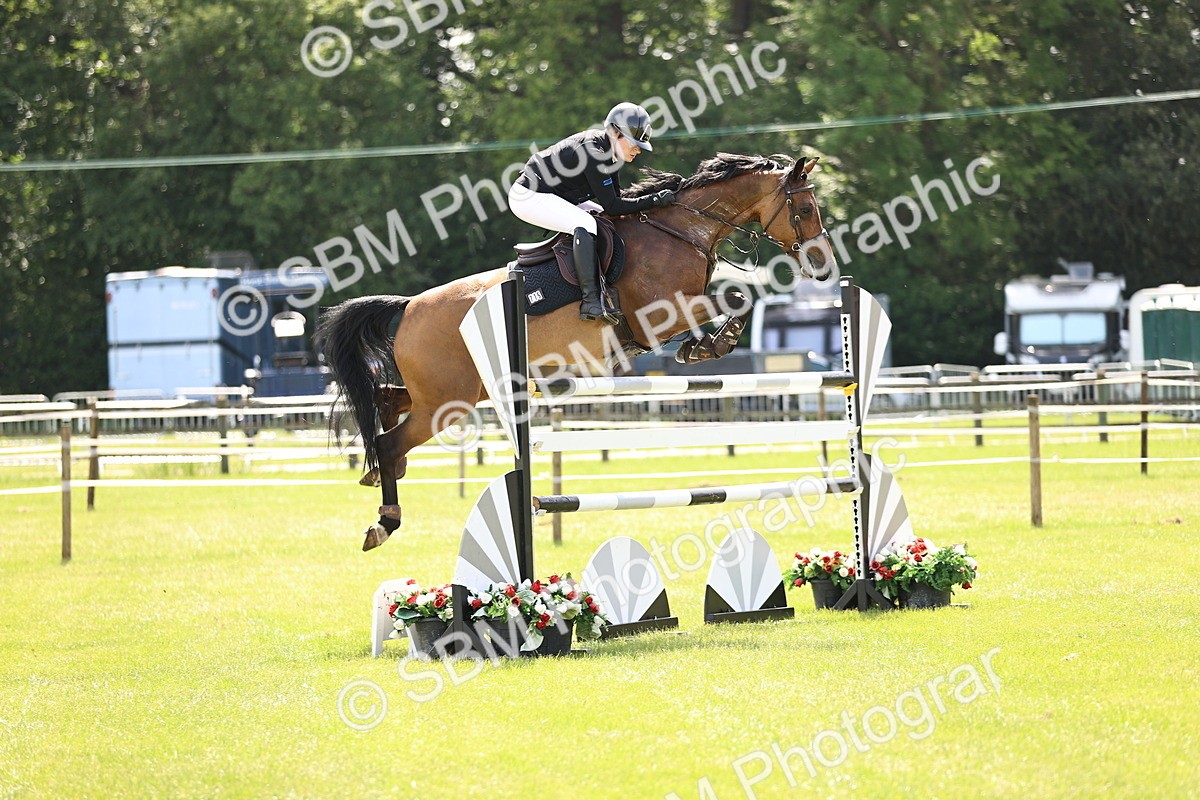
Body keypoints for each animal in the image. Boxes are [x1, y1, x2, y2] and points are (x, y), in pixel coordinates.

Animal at [315, 152, 836, 551]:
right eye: (806, 207)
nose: (824, 266)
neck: (679, 231)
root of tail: (408, 307)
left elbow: (723, 308)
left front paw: (700, 347)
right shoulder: (660, 311)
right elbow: (736, 299)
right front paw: (715, 342)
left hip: (459, 392)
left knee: (385, 399)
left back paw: (378, 474)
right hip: (448, 401)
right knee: (391, 438)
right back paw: (384, 520)